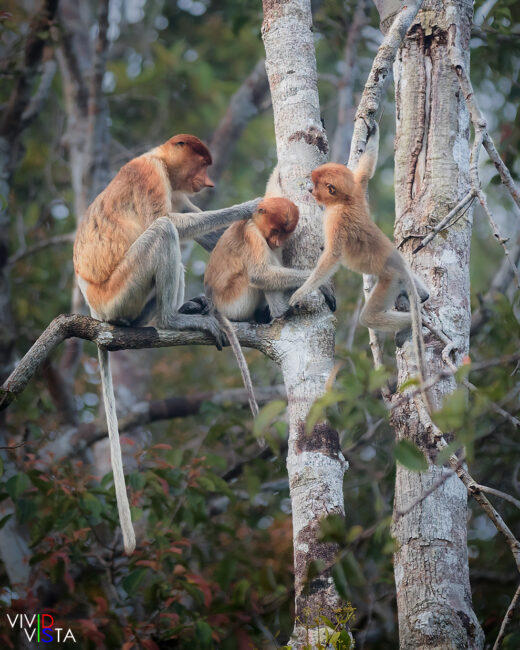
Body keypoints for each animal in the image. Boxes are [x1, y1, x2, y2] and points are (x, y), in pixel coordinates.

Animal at [73, 134, 258, 554]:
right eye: (202, 164)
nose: (208, 183)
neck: (157, 156)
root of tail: (96, 311)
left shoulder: (176, 191)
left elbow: (206, 232)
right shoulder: (151, 177)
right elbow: (170, 221)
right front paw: (253, 206)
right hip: (120, 291)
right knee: (163, 231)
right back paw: (174, 318)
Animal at [288, 125, 431, 403]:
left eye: (318, 185)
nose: (310, 191)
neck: (344, 201)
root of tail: (399, 267)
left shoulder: (336, 220)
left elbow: (332, 256)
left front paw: (301, 292)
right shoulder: (356, 188)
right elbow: (364, 172)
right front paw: (372, 130)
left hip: (389, 281)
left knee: (370, 316)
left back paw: (409, 324)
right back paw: (423, 295)